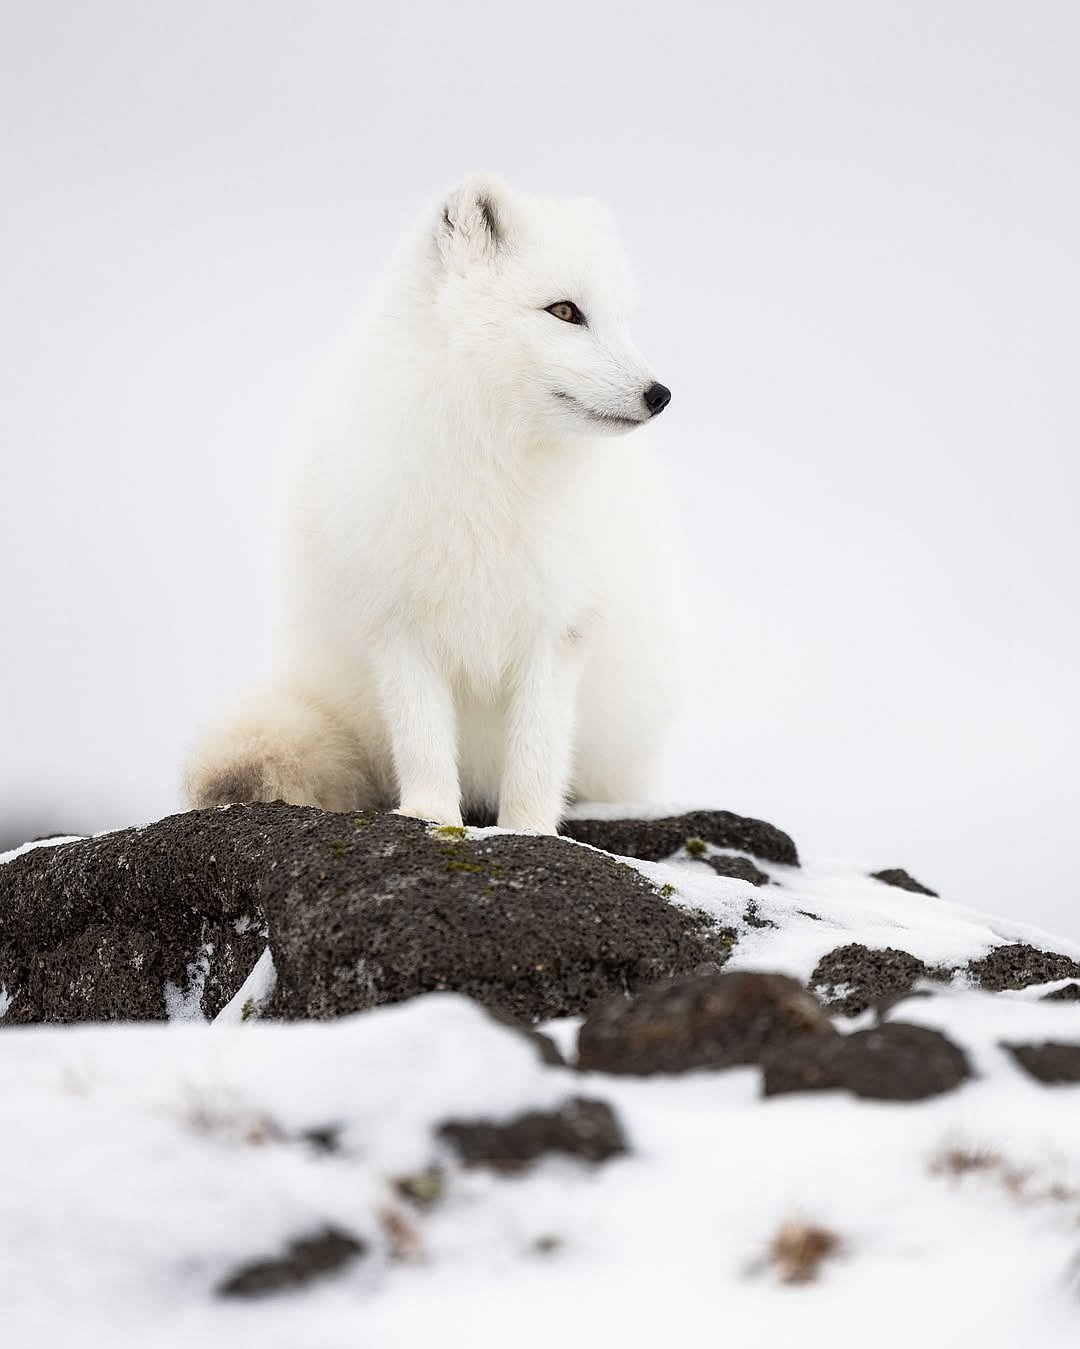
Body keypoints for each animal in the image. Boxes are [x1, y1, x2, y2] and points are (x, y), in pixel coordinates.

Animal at [184, 173, 684, 834]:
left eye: (623, 322)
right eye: (565, 311)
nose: (661, 394)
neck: (494, 468)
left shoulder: (559, 626)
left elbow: (537, 749)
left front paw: (527, 829)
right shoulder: (397, 619)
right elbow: (421, 735)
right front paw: (430, 815)